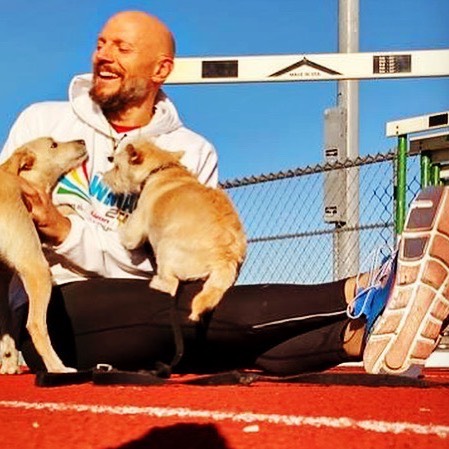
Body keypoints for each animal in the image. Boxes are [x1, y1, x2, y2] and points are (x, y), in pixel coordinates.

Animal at [0, 137, 87, 374]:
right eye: (53, 145)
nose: (82, 140)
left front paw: (9, 361)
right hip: (39, 270)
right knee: (35, 325)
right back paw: (59, 368)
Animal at [103, 140, 247, 321]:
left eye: (116, 166)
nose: (104, 176)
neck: (161, 169)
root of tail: (226, 258)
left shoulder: (136, 228)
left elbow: (127, 234)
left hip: (165, 248)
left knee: (171, 286)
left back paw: (156, 283)